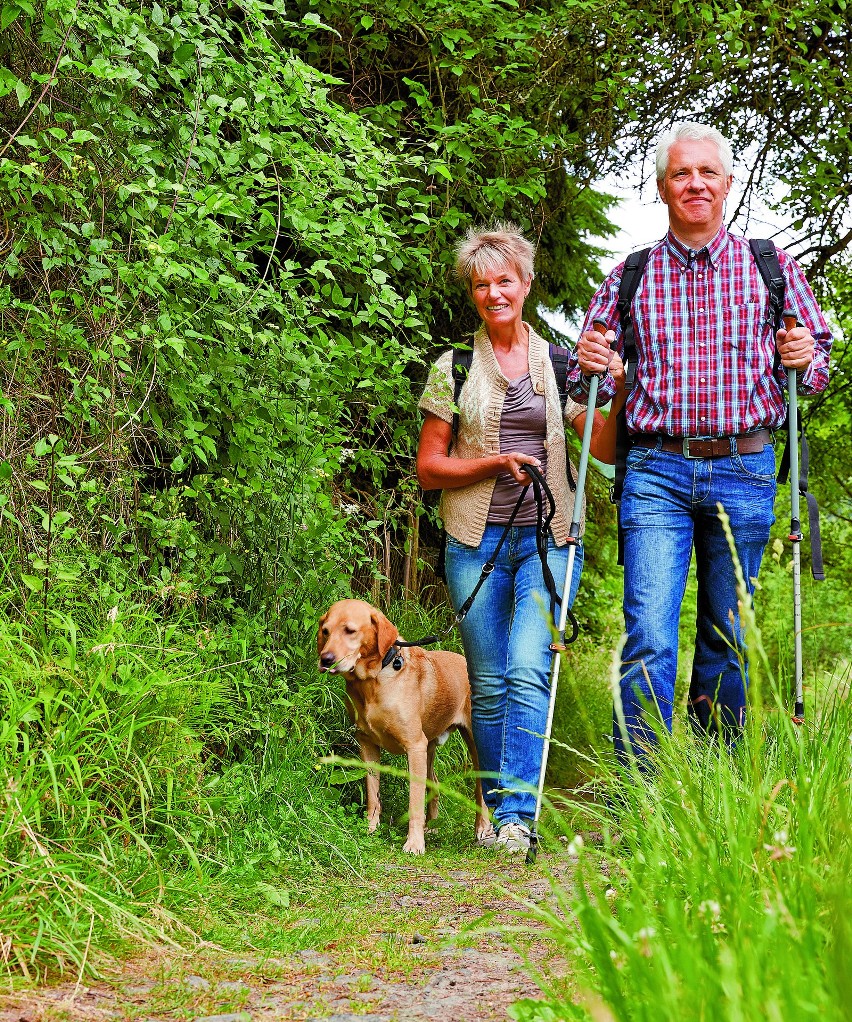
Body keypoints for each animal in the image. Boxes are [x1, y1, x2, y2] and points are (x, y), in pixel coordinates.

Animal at [314, 596, 488, 854]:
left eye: (350, 630)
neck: (373, 681)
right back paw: (432, 826)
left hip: (473, 743)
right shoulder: (368, 745)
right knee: (434, 783)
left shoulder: (414, 747)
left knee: (481, 789)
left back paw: (482, 828)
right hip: (429, 749)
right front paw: (371, 829)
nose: (326, 659)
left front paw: (414, 843)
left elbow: (414, 803)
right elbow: (373, 795)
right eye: (325, 631)